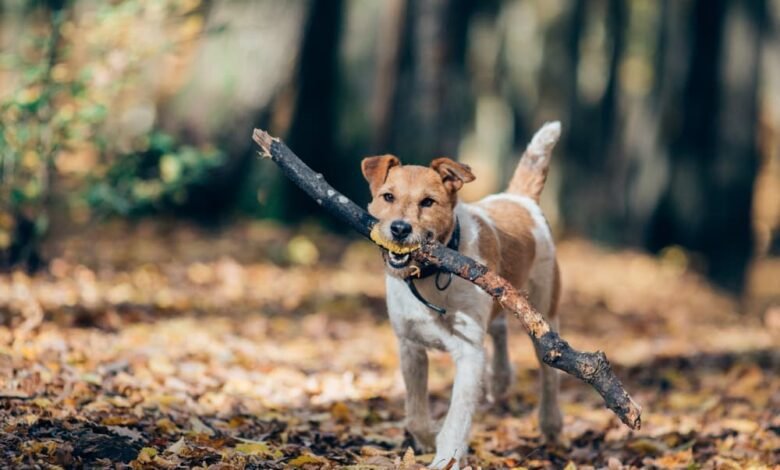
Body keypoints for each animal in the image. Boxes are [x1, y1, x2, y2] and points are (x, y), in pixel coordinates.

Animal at [362, 120, 564, 466]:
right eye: (387, 196)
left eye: (428, 202)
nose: (400, 229)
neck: (430, 275)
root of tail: (519, 199)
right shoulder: (410, 346)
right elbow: (415, 410)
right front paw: (425, 439)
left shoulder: (469, 353)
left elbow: (457, 416)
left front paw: (447, 459)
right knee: (498, 327)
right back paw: (500, 378)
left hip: (543, 312)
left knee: (549, 370)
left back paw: (550, 422)